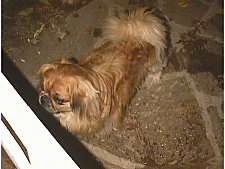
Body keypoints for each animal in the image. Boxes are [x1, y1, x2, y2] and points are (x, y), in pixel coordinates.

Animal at [37, 7, 167, 135]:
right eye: (42, 88)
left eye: (59, 100)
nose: (43, 98)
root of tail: (133, 33)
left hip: (152, 62)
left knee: (158, 67)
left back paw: (153, 78)